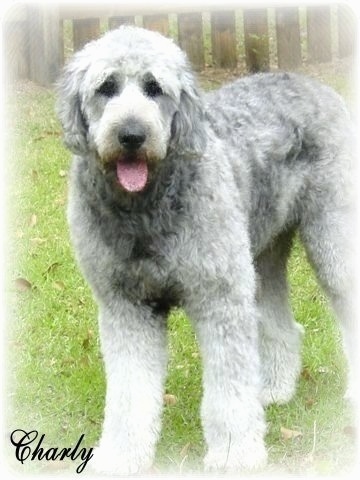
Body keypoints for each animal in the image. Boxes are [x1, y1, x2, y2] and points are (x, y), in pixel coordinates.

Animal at [57, 25, 358, 472]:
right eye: (106, 87)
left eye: (154, 88)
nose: (131, 135)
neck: (145, 209)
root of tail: (316, 86)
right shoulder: (126, 308)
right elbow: (129, 395)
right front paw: (121, 458)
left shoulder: (219, 300)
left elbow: (228, 394)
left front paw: (235, 454)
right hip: (259, 258)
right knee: (282, 325)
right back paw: (272, 389)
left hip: (332, 243)